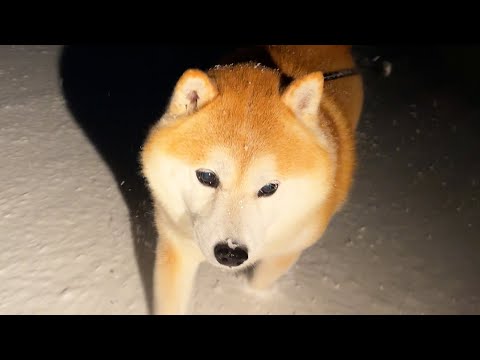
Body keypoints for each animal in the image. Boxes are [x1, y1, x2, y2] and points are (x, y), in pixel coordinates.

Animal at [139, 45, 364, 314]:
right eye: (207, 177)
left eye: (269, 188)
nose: (231, 252)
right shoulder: (176, 244)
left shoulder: (288, 249)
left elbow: (259, 285)